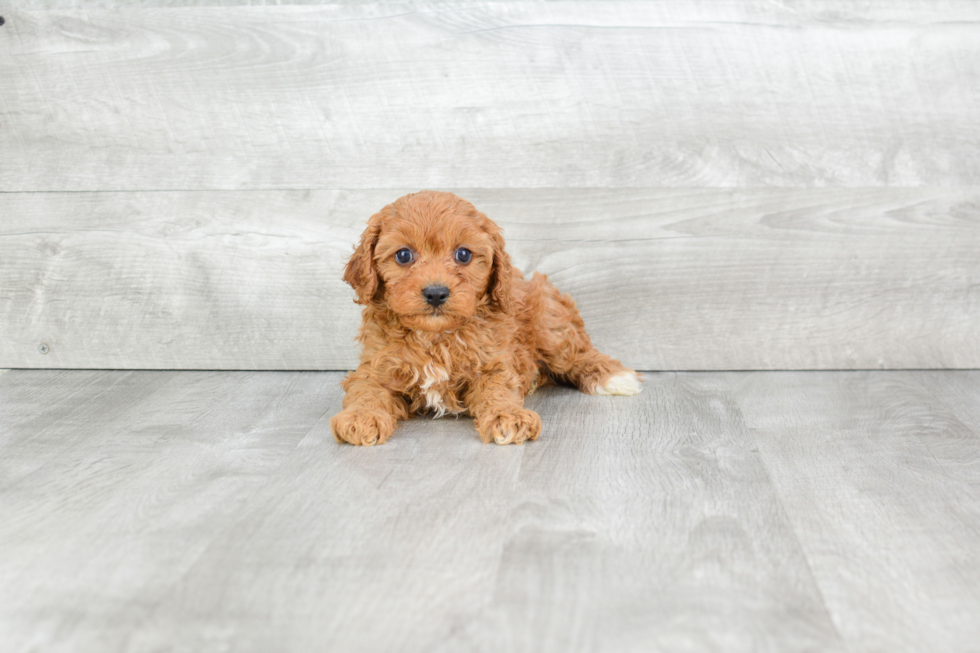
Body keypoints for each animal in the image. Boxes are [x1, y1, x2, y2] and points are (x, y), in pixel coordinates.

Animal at [334, 188, 644, 444]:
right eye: (403, 255)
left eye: (463, 254)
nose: (435, 293)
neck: (436, 337)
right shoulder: (375, 366)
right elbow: (367, 390)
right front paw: (360, 417)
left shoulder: (494, 364)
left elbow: (498, 389)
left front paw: (508, 416)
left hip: (549, 321)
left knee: (576, 354)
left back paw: (613, 377)